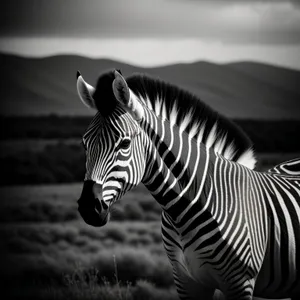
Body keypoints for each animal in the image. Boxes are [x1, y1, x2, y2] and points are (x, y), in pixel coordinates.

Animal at [75, 69, 300, 298]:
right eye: (85, 144)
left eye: (125, 143)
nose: (88, 208)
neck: (181, 214)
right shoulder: (186, 281)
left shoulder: (240, 282)